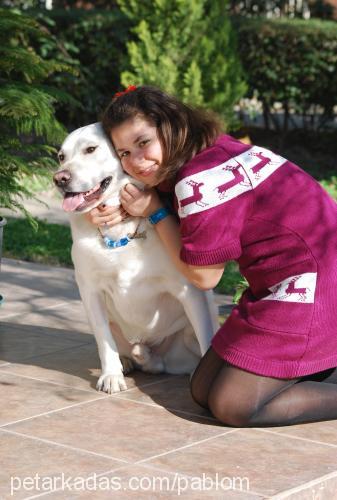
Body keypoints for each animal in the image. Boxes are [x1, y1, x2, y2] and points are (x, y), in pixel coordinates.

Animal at [53, 123, 217, 392]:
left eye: (91, 149)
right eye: (61, 156)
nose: (59, 179)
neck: (120, 228)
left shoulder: (188, 290)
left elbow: (206, 337)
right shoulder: (90, 290)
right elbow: (104, 339)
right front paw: (111, 375)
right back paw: (132, 359)